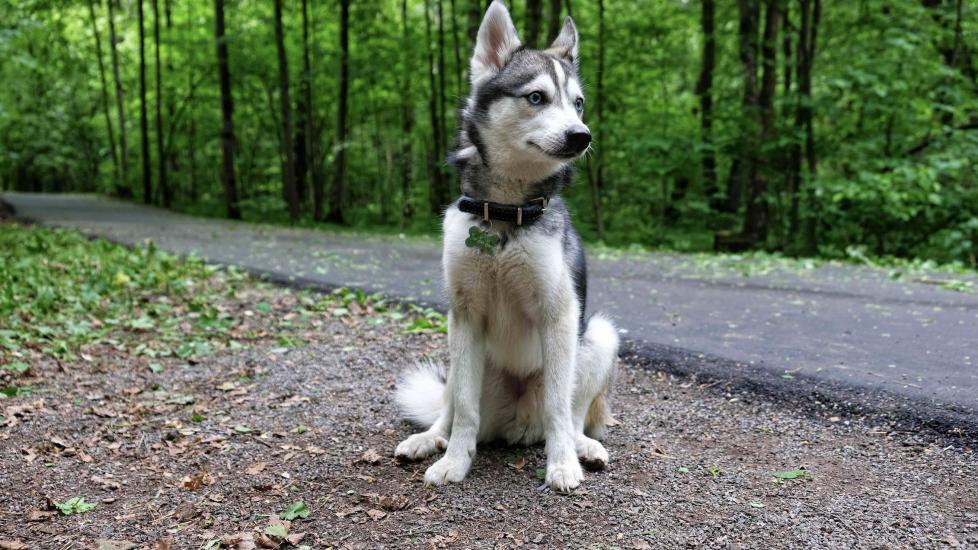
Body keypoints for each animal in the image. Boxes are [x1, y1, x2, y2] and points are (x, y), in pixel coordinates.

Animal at [390, 0, 612, 492]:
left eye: (578, 103)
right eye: (537, 97)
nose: (582, 136)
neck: (505, 213)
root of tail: (515, 425)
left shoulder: (560, 315)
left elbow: (558, 407)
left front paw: (562, 464)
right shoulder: (465, 314)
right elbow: (464, 410)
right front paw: (454, 461)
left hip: (599, 336)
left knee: (571, 414)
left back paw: (582, 446)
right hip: (458, 351)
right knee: (451, 407)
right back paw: (429, 439)